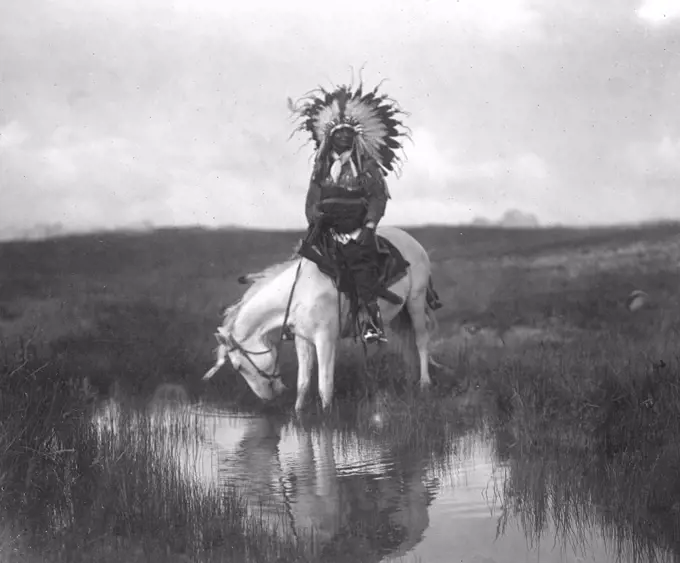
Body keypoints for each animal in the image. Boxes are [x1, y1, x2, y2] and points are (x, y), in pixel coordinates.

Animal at [202, 227, 440, 416]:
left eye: (238, 367)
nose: (266, 399)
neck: (300, 293)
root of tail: (412, 240)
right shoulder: (303, 340)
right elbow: (303, 383)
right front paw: (297, 416)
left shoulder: (325, 340)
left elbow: (325, 385)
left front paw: (326, 420)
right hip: (399, 315)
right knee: (407, 344)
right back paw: (410, 379)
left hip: (416, 302)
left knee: (421, 341)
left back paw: (425, 383)